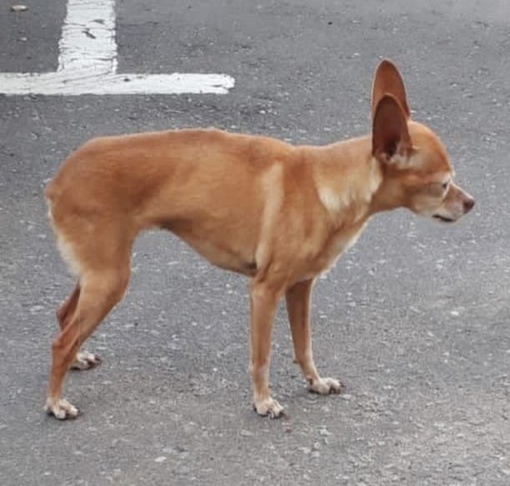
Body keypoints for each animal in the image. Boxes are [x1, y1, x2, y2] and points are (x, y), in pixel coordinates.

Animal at [43, 59, 474, 418]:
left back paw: (78, 360)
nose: (471, 203)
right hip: (111, 278)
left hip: (98, 273)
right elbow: (262, 355)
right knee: (61, 341)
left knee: (64, 317)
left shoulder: (301, 287)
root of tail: (58, 180)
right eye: (442, 185)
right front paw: (264, 401)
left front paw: (316, 382)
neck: (325, 184)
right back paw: (56, 402)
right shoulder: (264, 291)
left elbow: (303, 345)